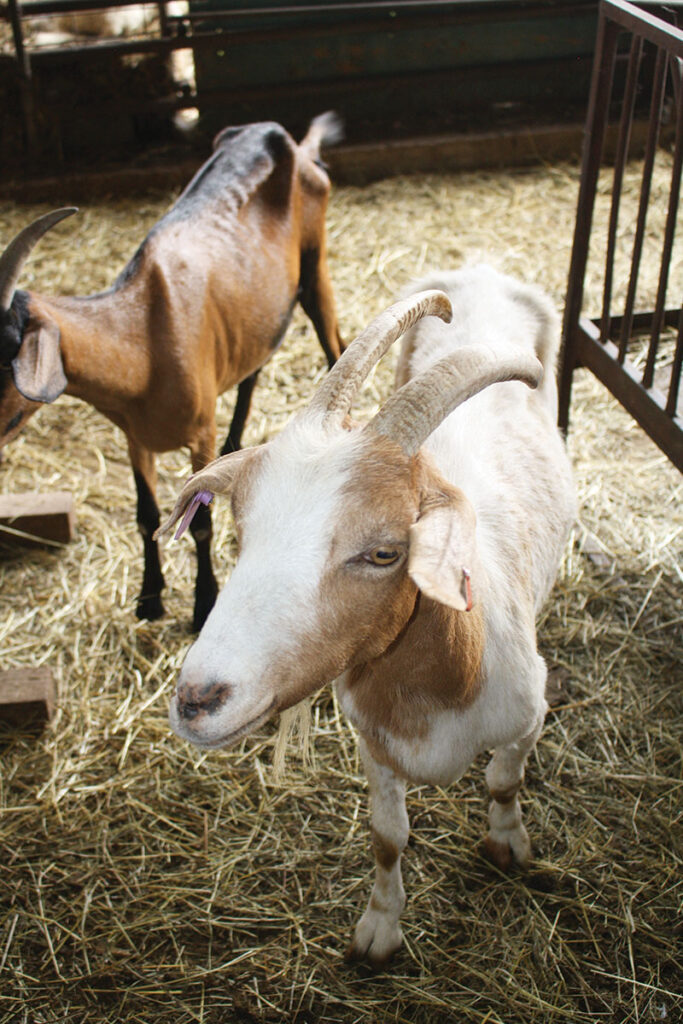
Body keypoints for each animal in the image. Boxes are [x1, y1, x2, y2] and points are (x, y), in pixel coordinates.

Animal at [0, 116, 342, 630]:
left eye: (4, 352)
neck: (143, 342)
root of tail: (296, 144)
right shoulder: (135, 438)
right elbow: (146, 514)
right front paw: (149, 597)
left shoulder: (198, 434)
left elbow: (199, 521)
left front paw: (203, 604)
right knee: (255, 364)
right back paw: (235, 441)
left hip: (314, 264)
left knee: (333, 343)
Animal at [158, 266, 577, 966]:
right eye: (242, 530)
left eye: (385, 552)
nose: (198, 700)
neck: (444, 683)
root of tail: (481, 270)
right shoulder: (374, 748)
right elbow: (387, 837)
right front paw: (379, 931)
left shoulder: (527, 717)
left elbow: (502, 782)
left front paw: (508, 846)